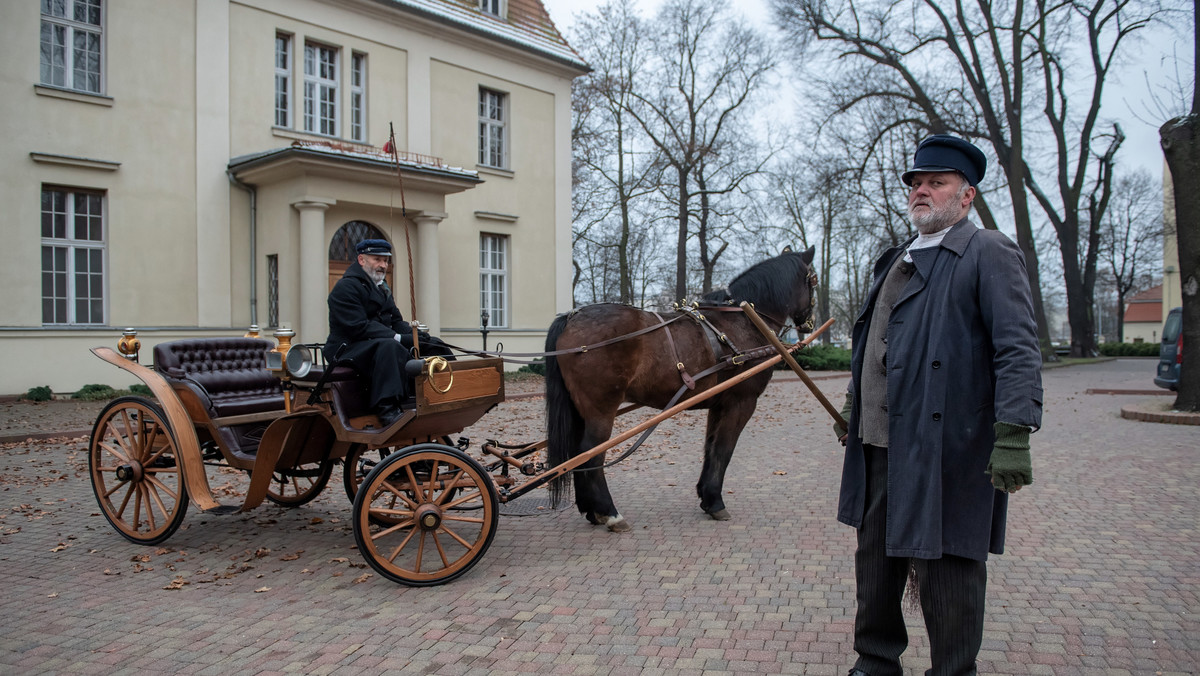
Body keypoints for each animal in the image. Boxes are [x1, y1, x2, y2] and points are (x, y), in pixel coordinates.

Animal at [544, 246, 816, 530]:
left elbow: (710, 449)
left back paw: (591, 510)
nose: (809, 322)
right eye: (814, 280)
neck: (744, 320)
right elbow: (724, 450)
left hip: (581, 411)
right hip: (601, 411)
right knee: (591, 454)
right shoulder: (741, 401)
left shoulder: (718, 404)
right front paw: (715, 501)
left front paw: (707, 497)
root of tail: (571, 317)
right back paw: (609, 512)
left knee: (577, 457)